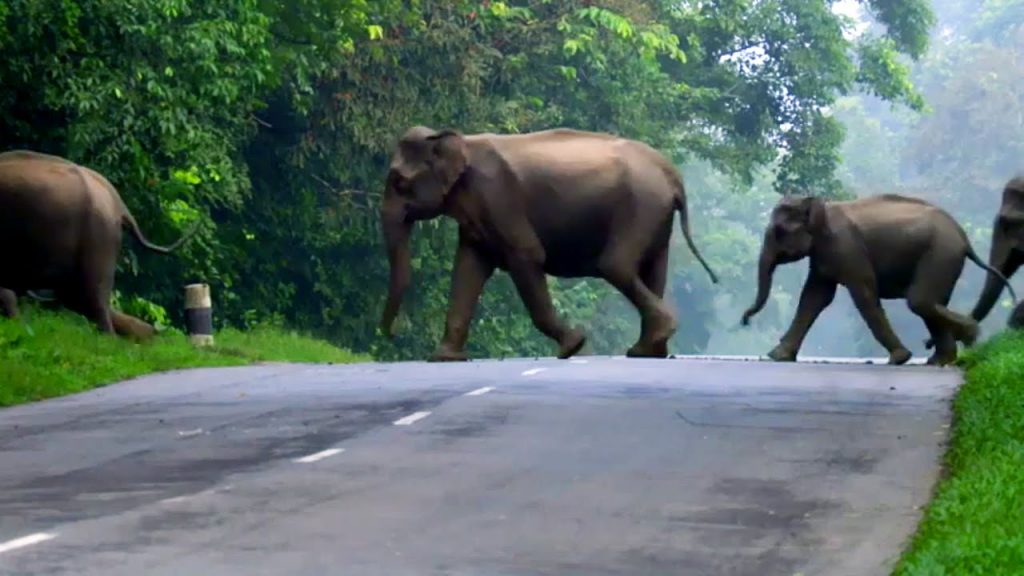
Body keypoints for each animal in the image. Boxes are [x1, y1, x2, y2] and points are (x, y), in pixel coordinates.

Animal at [376, 126, 720, 358]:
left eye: (399, 182)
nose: (392, 334)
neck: (457, 140)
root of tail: (672, 174)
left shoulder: (498, 198)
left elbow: (527, 256)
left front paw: (573, 345)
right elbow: (467, 269)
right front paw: (444, 358)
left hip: (640, 207)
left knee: (616, 266)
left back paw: (648, 343)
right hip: (656, 216)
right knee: (652, 271)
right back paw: (648, 350)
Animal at [737, 191, 1015, 362]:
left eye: (779, 231)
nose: (745, 321)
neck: (821, 205)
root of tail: (963, 236)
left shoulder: (846, 248)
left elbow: (863, 294)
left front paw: (900, 358)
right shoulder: (824, 255)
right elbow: (815, 297)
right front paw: (777, 356)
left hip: (940, 254)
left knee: (920, 301)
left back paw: (970, 336)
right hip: (943, 258)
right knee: (931, 303)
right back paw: (940, 360)